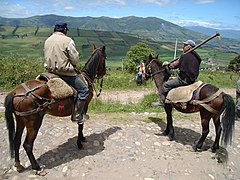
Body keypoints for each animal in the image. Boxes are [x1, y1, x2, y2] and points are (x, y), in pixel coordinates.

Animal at [3, 44, 106, 174]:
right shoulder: (84, 107)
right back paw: (37, 168)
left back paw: (18, 164)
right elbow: (80, 124)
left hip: (20, 119)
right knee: (27, 144)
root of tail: (15, 92)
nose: (104, 72)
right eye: (104, 58)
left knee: (16, 140)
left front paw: (82, 139)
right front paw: (80, 142)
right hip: (34, 121)